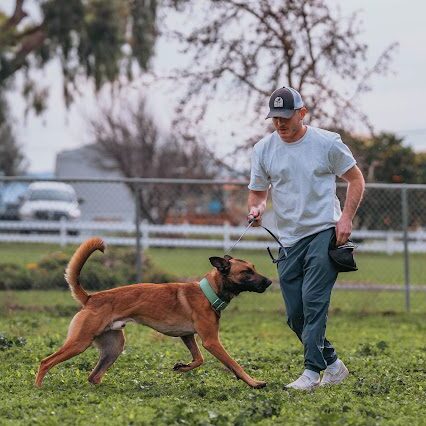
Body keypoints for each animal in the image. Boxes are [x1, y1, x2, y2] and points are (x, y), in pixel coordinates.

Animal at [35, 238, 272, 388]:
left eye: (253, 268)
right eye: (246, 272)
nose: (270, 282)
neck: (209, 292)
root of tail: (91, 298)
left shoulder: (188, 336)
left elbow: (199, 359)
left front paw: (182, 367)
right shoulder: (211, 341)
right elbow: (234, 365)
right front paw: (254, 383)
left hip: (114, 347)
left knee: (93, 377)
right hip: (80, 342)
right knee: (46, 362)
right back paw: (38, 388)